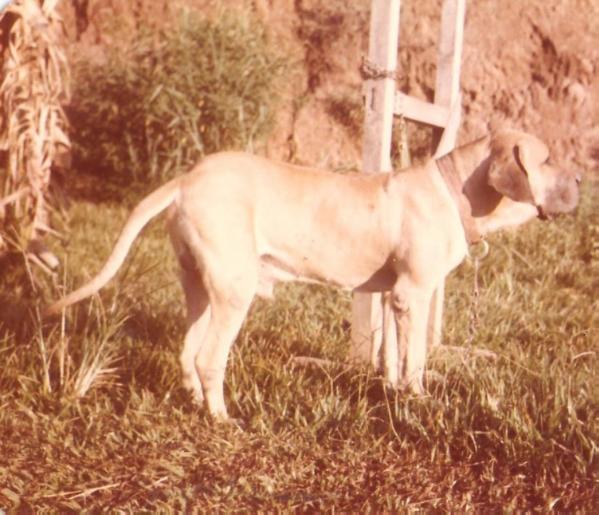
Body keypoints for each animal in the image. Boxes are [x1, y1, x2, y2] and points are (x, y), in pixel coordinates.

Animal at [47, 128, 580, 420]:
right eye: (547, 159)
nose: (579, 178)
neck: (458, 189)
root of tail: (186, 178)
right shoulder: (414, 293)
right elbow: (415, 358)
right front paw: (419, 399)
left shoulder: (394, 296)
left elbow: (393, 354)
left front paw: (392, 393)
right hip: (234, 292)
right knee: (209, 358)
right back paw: (222, 419)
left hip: (199, 286)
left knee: (186, 352)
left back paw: (197, 403)